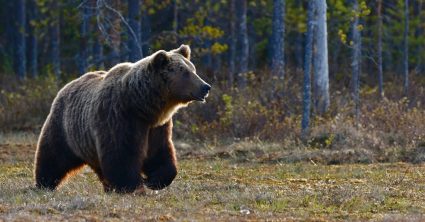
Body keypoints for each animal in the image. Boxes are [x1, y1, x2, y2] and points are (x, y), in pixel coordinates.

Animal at [34, 44, 210, 193]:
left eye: (193, 69)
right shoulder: (119, 117)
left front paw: (153, 180)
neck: (142, 106)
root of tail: (67, 85)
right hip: (64, 127)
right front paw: (132, 185)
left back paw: (108, 187)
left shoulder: (157, 127)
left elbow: (160, 153)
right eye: (184, 72)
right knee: (53, 155)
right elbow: (121, 154)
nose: (206, 87)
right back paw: (44, 183)